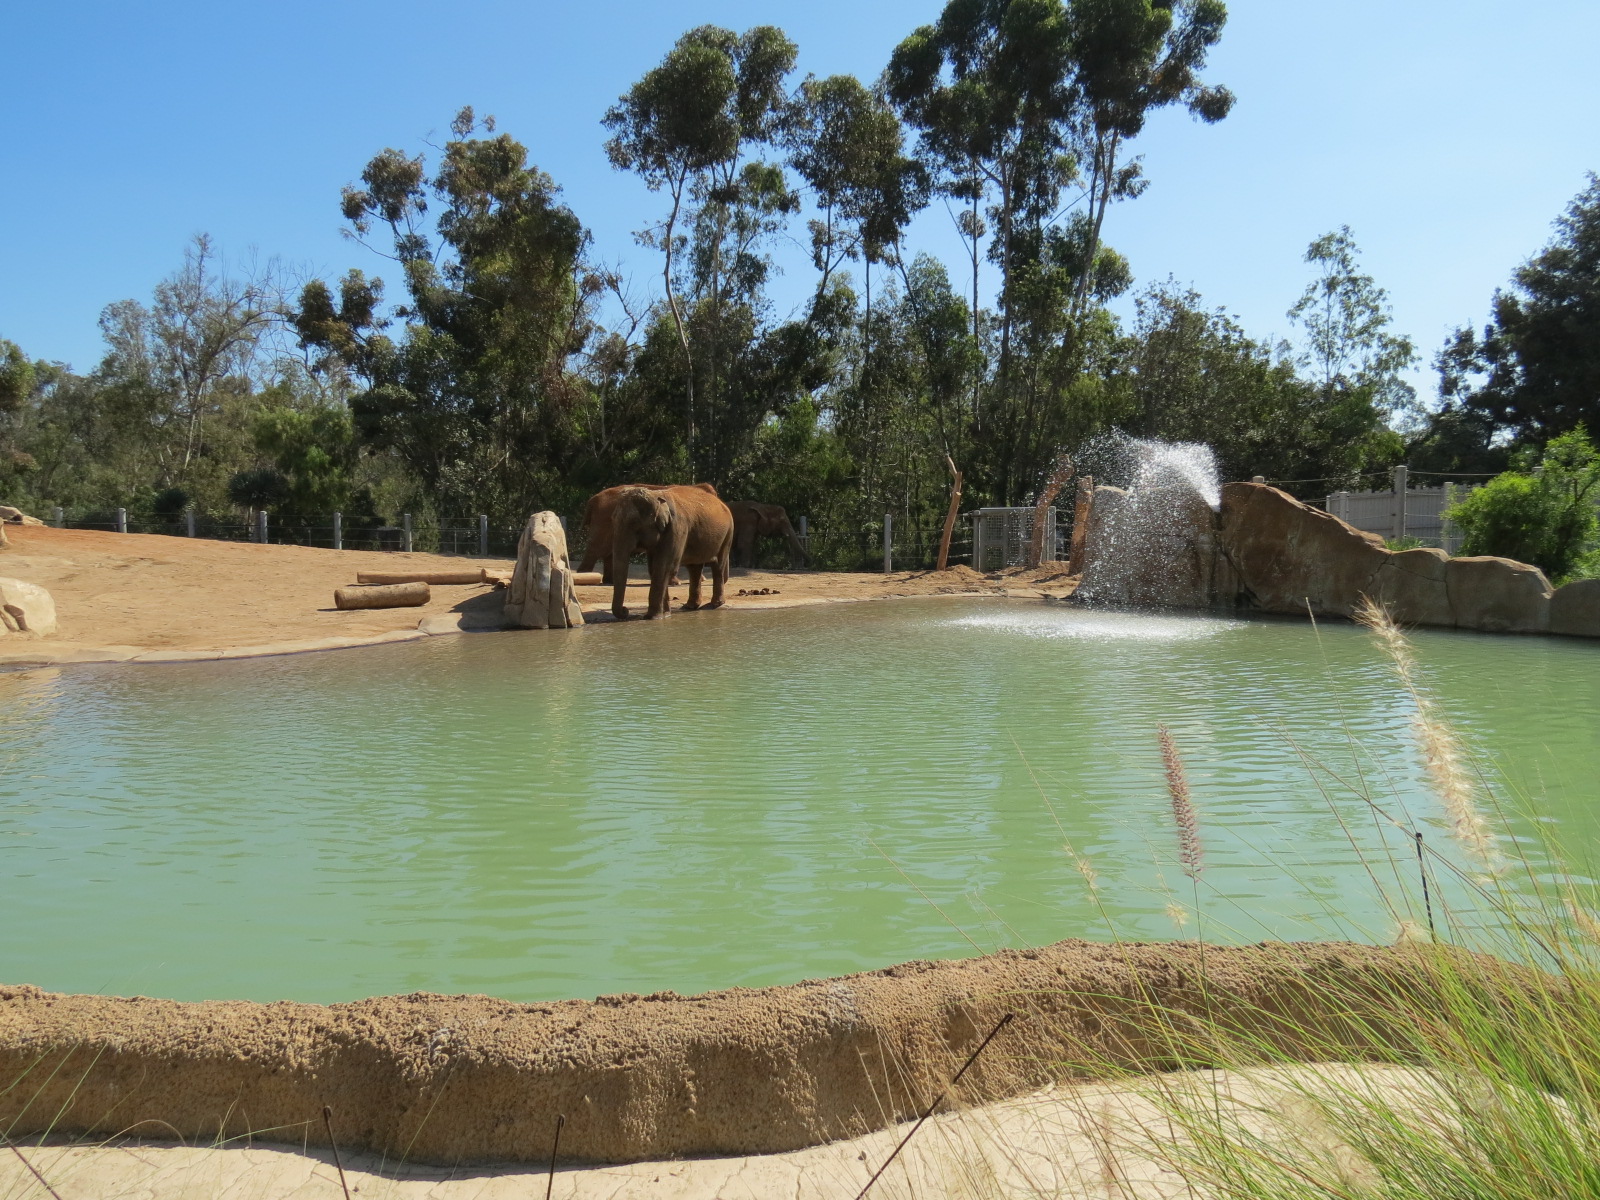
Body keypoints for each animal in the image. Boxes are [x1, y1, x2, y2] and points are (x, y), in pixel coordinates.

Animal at [609, 485, 733, 620]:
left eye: (634, 523)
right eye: (613, 520)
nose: (626, 610)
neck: (656, 496)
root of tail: (721, 501)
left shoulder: (677, 528)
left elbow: (664, 567)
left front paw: (653, 617)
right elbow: (654, 568)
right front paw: (666, 615)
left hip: (727, 534)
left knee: (718, 565)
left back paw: (715, 604)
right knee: (694, 568)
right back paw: (690, 606)